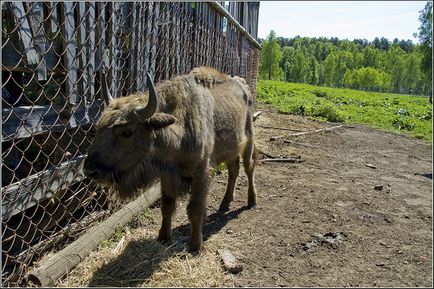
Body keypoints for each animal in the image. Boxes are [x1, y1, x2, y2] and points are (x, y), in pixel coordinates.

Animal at [85, 67, 258, 250]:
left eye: (126, 131)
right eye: (98, 127)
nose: (90, 169)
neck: (179, 127)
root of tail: (243, 85)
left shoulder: (201, 173)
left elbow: (195, 209)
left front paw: (195, 245)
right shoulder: (167, 175)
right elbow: (167, 207)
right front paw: (163, 237)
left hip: (249, 141)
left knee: (249, 168)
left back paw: (251, 201)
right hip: (232, 149)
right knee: (233, 171)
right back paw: (225, 203)